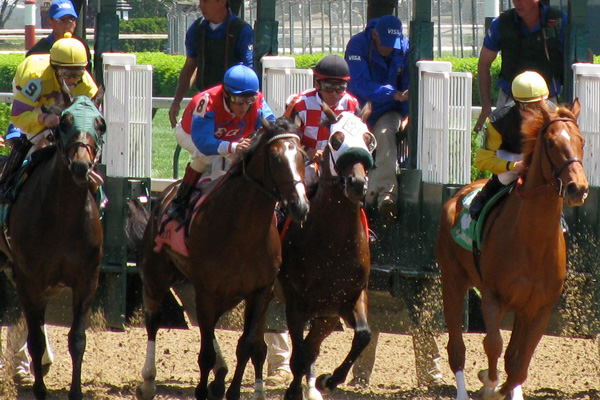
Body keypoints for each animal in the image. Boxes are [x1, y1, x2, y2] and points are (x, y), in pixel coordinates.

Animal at [0, 94, 105, 400]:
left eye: (101, 124)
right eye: (65, 122)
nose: (81, 166)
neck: (62, 216)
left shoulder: (86, 280)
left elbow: (77, 339)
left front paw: (76, 391)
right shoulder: (29, 280)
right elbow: (34, 338)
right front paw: (40, 390)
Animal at [137, 116, 310, 400]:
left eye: (302, 156)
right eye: (274, 158)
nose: (300, 206)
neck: (243, 233)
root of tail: (166, 192)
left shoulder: (260, 291)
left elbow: (246, 345)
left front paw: (232, 390)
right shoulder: (207, 290)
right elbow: (205, 352)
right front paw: (202, 390)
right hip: (156, 274)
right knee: (153, 319)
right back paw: (149, 381)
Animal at [278, 108, 376, 400]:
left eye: (369, 139)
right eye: (335, 140)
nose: (357, 183)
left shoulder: (347, 299)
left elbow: (363, 336)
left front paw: (329, 380)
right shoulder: (295, 302)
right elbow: (299, 356)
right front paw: (294, 392)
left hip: (326, 315)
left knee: (312, 348)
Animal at [434, 99, 588, 400]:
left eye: (582, 141)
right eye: (551, 142)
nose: (578, 188)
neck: (533, 242)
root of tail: (458, 195)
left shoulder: (539, 308)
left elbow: (518, 364)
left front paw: (500, 386)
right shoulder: (493, 296)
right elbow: (493, 343)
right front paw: (489, 382)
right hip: (453, 280)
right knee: (457, 347)